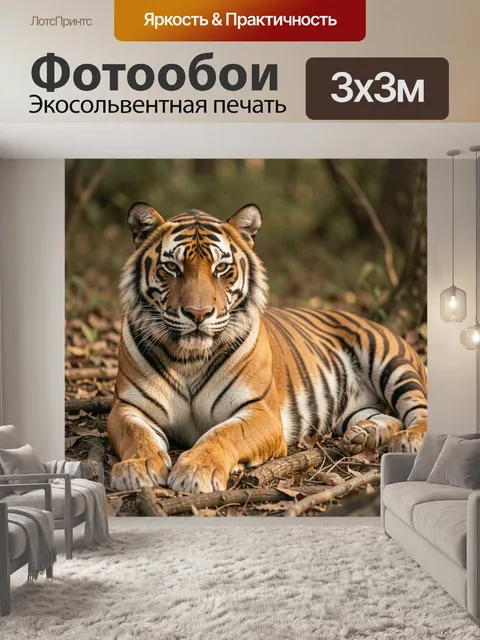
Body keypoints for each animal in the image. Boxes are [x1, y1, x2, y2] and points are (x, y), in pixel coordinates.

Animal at [107, 202, 428, 493]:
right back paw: (364, 434)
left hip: (393, 364)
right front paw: (137, 467)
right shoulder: (128, 407)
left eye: (221, 268)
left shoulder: (261, 411)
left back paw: (409, 440)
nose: (198, 314)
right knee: (389, 417)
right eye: (172, 268)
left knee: (419, 410)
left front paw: (196, 470)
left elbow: (222, 434)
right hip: (352, 409)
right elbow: (137, 436)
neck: (190, 358)